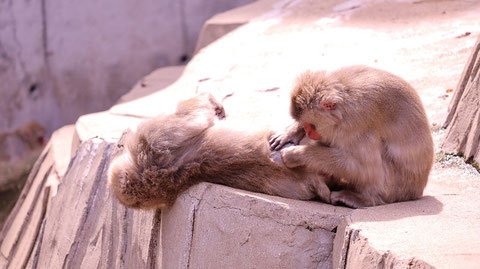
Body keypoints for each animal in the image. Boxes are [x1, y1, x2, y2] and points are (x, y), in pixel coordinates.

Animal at [270, 65, 436, 207]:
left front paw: (296, 154)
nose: (308, 131)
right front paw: (290, 133)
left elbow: (361, 167)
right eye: (304, 124)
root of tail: (416, 192)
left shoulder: (357, 124)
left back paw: (365, 199)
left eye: (311, 125)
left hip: (395, 190)